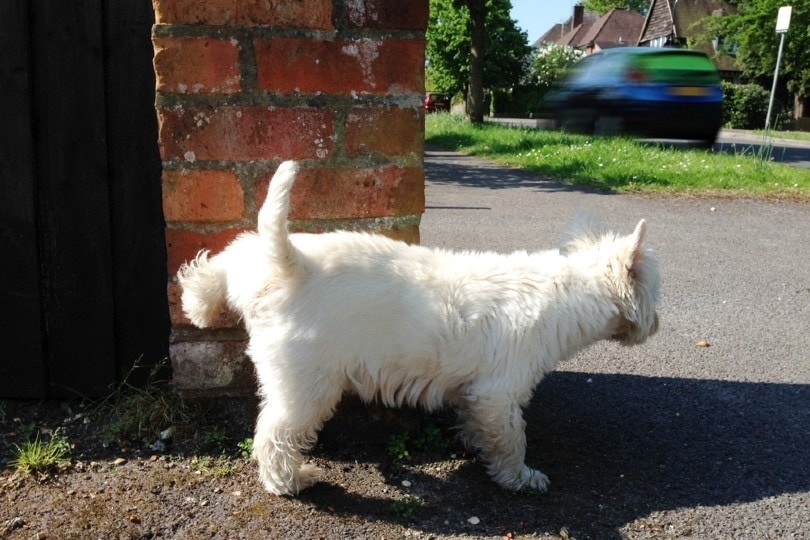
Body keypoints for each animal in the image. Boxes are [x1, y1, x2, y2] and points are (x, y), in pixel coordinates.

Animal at [177, 161, 656, 498]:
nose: (655, 325)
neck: (565, 291)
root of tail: (293, 266)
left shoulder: (476, 392)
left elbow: (479, 425)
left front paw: (475, 445)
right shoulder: (500, 392)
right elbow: (511, 439)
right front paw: (521, 477)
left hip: (253, 267)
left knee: (225, 255)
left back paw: (199, 303)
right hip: (305, 388)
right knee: (273, 437)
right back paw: (291, 482)